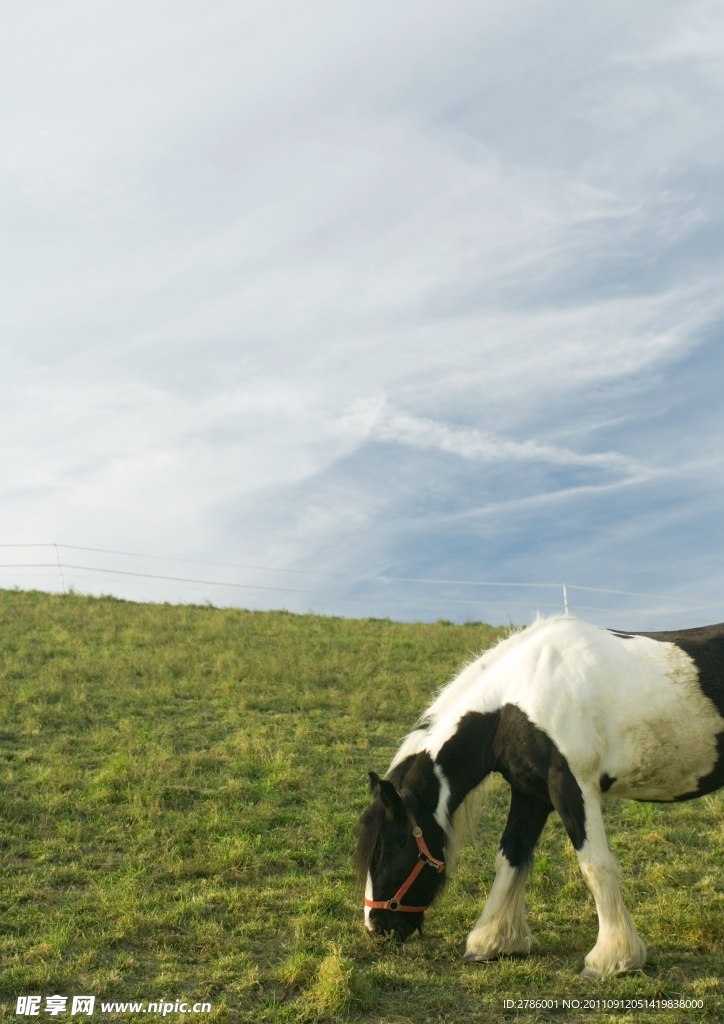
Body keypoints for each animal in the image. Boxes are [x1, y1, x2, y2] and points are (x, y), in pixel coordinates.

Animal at [356, 614, 724, 974]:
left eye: (388, 847)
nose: (376, 926)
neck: (516, 702)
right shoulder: (529, 793)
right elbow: (510, 856)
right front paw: (491, 943)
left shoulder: (572, 786)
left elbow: (594, 865)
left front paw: (612, 959)